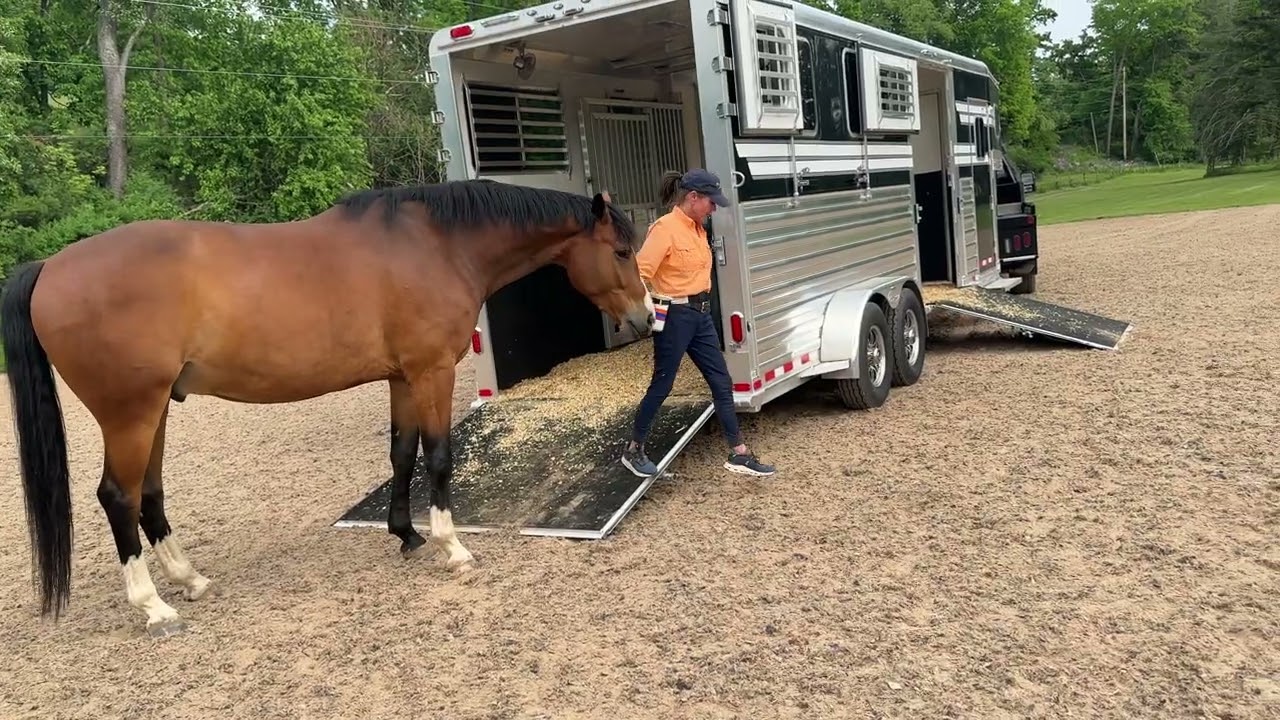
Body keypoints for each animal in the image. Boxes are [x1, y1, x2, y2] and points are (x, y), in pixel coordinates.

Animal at [0, 179, 654, 638]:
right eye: (622, 250)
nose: (648, 317)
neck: (436, 246)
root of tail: (50, 267)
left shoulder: (401, 377)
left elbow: (402, 453)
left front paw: (407, 535)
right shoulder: (432, 372)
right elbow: (439, 457)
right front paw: (453, 547)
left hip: (157, 409)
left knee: (149, 494)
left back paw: (190, 580)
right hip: (129, 413)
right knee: (118, 496)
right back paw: (154, 607)